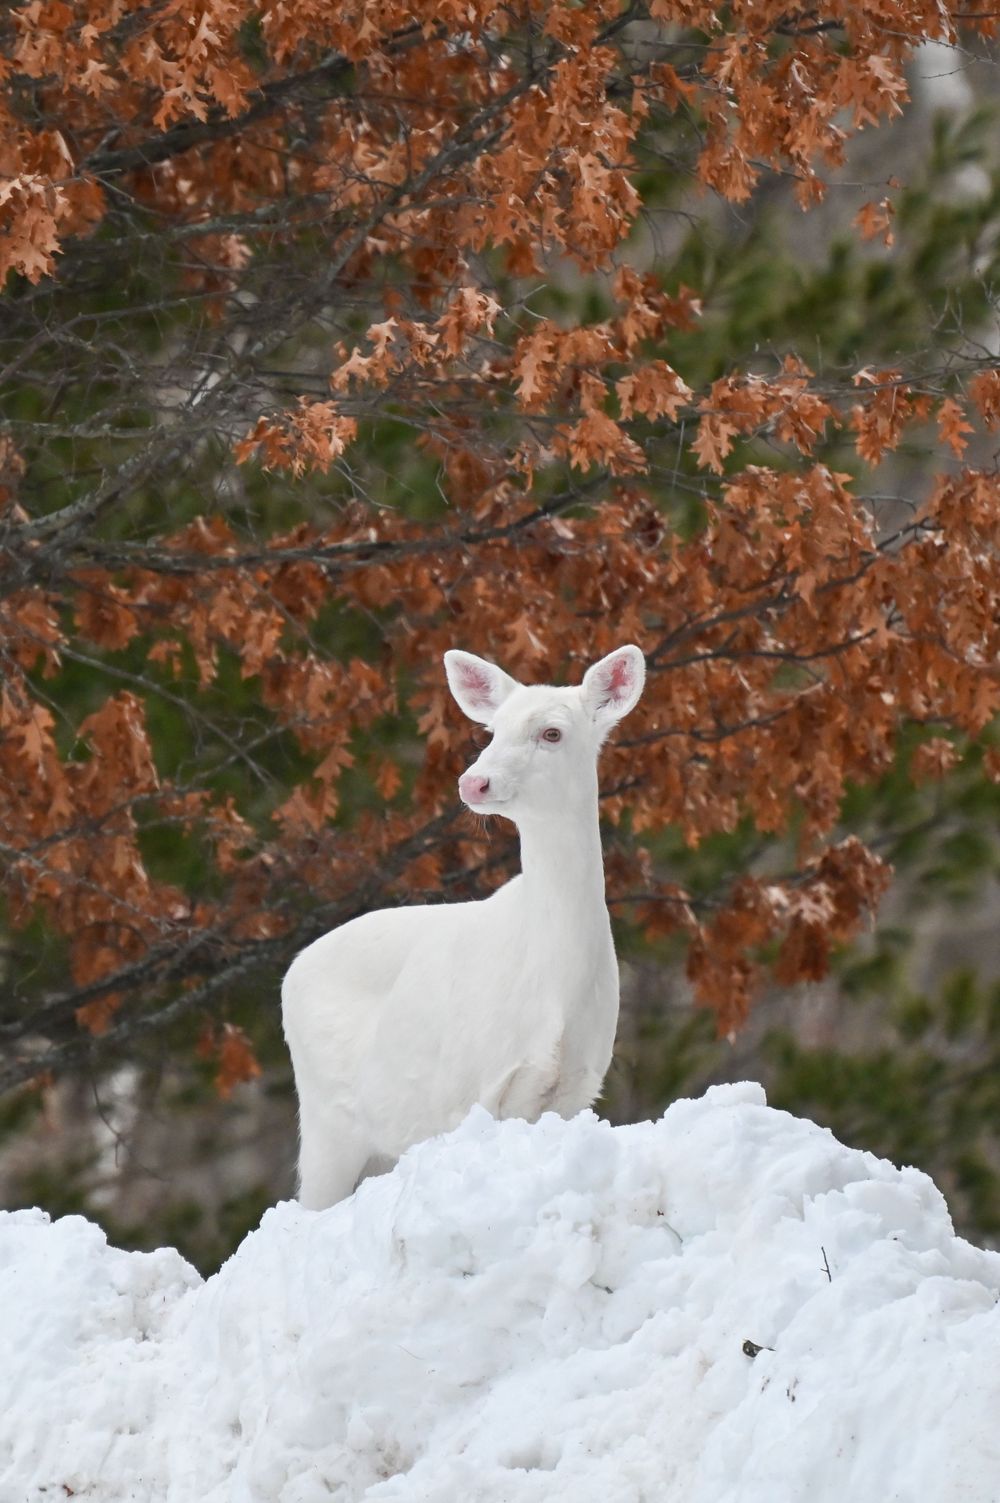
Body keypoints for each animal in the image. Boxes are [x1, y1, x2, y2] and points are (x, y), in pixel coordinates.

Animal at [281, 643, 646, 1209]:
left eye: (552, 733)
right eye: (491, 731)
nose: (474, 781)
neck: (554, 981)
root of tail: (289, 973)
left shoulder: (577, 1086)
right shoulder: (466, 1091)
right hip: (326, 1121)